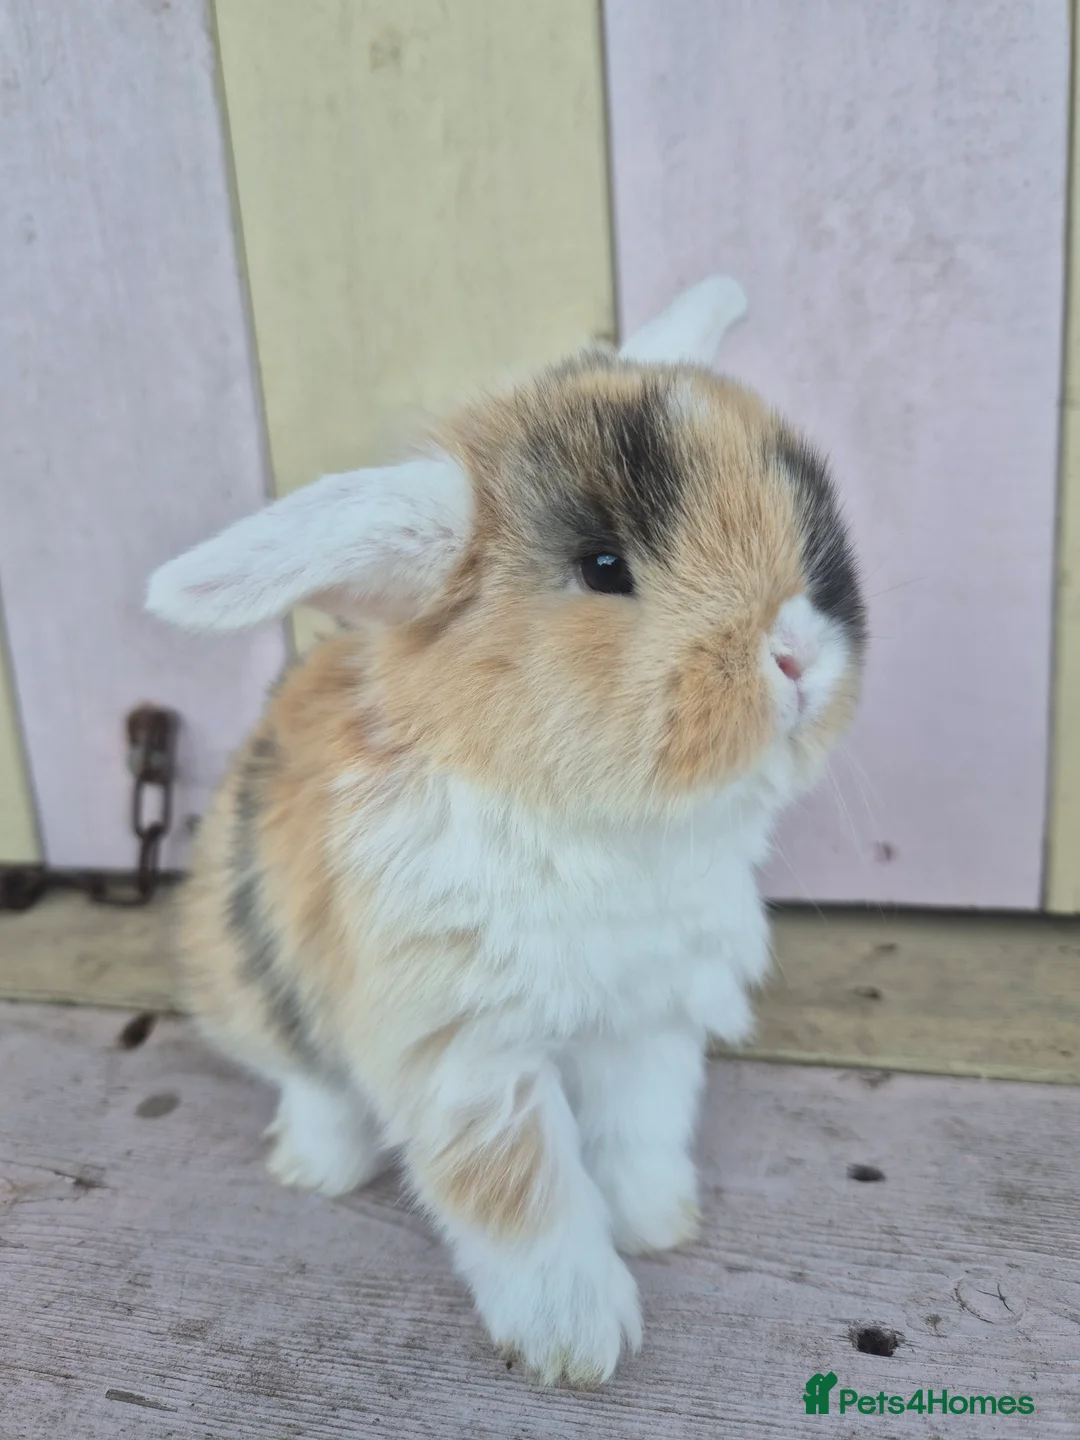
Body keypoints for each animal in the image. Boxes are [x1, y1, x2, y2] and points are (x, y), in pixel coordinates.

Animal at [146, 275, 865, 1387]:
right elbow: (526, 1194)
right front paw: (580, 1339)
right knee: (307, 1076)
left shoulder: (647, 1023)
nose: (796, 655)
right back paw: (317, 1167)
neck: (602, 824)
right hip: (254, 980)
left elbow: (637, 1135)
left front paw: (657, 1223)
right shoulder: (466, 1052)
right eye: (603, 565)